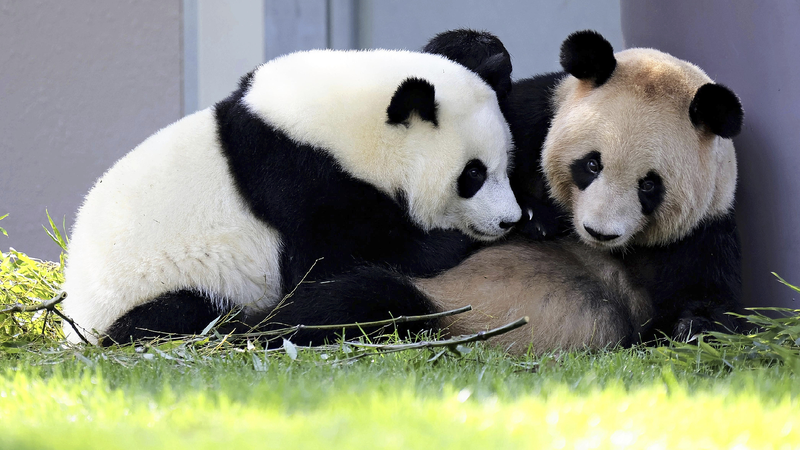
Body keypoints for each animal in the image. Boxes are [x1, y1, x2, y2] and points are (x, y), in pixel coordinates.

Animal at [61, 49, 522, 345]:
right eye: (474, 174)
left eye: (506, 163)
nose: (509, 220)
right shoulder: (300, 179)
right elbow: (333, 260)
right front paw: (450, 243)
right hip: (147, 293)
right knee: (180, 315)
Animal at [416, 29, 743, 354]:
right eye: (592, 164)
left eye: (649, 185)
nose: (599, 232)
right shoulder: (528, 119)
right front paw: (535, 217)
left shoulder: (705, 228)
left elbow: (709, 295)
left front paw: (693, 330)